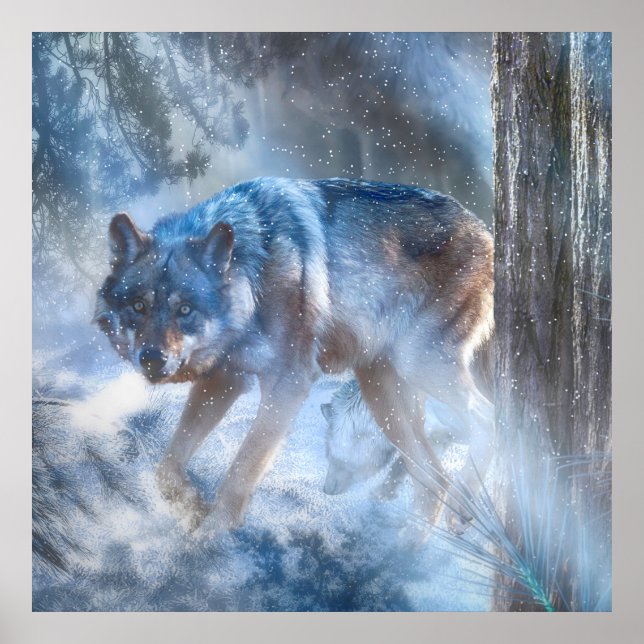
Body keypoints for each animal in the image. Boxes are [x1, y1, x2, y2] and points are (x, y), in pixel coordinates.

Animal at [95, 177, 494, 534]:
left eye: (185, 310)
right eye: (139, 306)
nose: (152, 359)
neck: (253, 275)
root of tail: (486, 232)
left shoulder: (289, 384)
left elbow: (243, 467)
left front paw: (213, 533)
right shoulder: (225, 379)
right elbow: (167, 466)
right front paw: (193, 507)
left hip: (419, 365)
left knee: (490, 421)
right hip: (383, 395)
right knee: (432, 479)